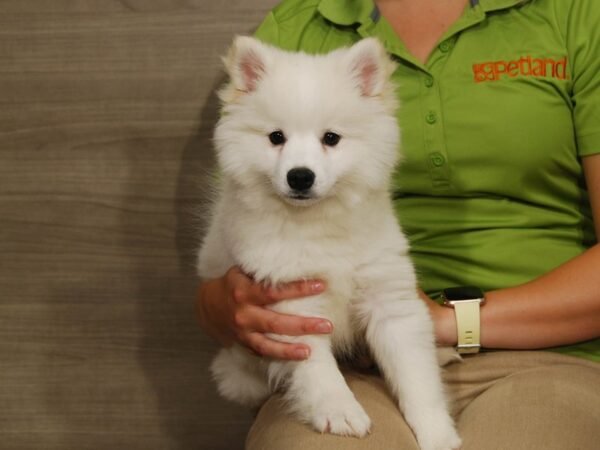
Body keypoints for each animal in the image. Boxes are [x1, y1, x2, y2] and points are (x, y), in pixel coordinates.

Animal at [199, 36, 462, 450]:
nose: (300, 176)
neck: (320, 226)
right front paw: (340, 411)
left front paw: (437, 432)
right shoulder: (291, 304)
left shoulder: (389, 300)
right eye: (276, 137)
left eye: (331, 139)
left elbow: (416, 377)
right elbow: (317, 370)